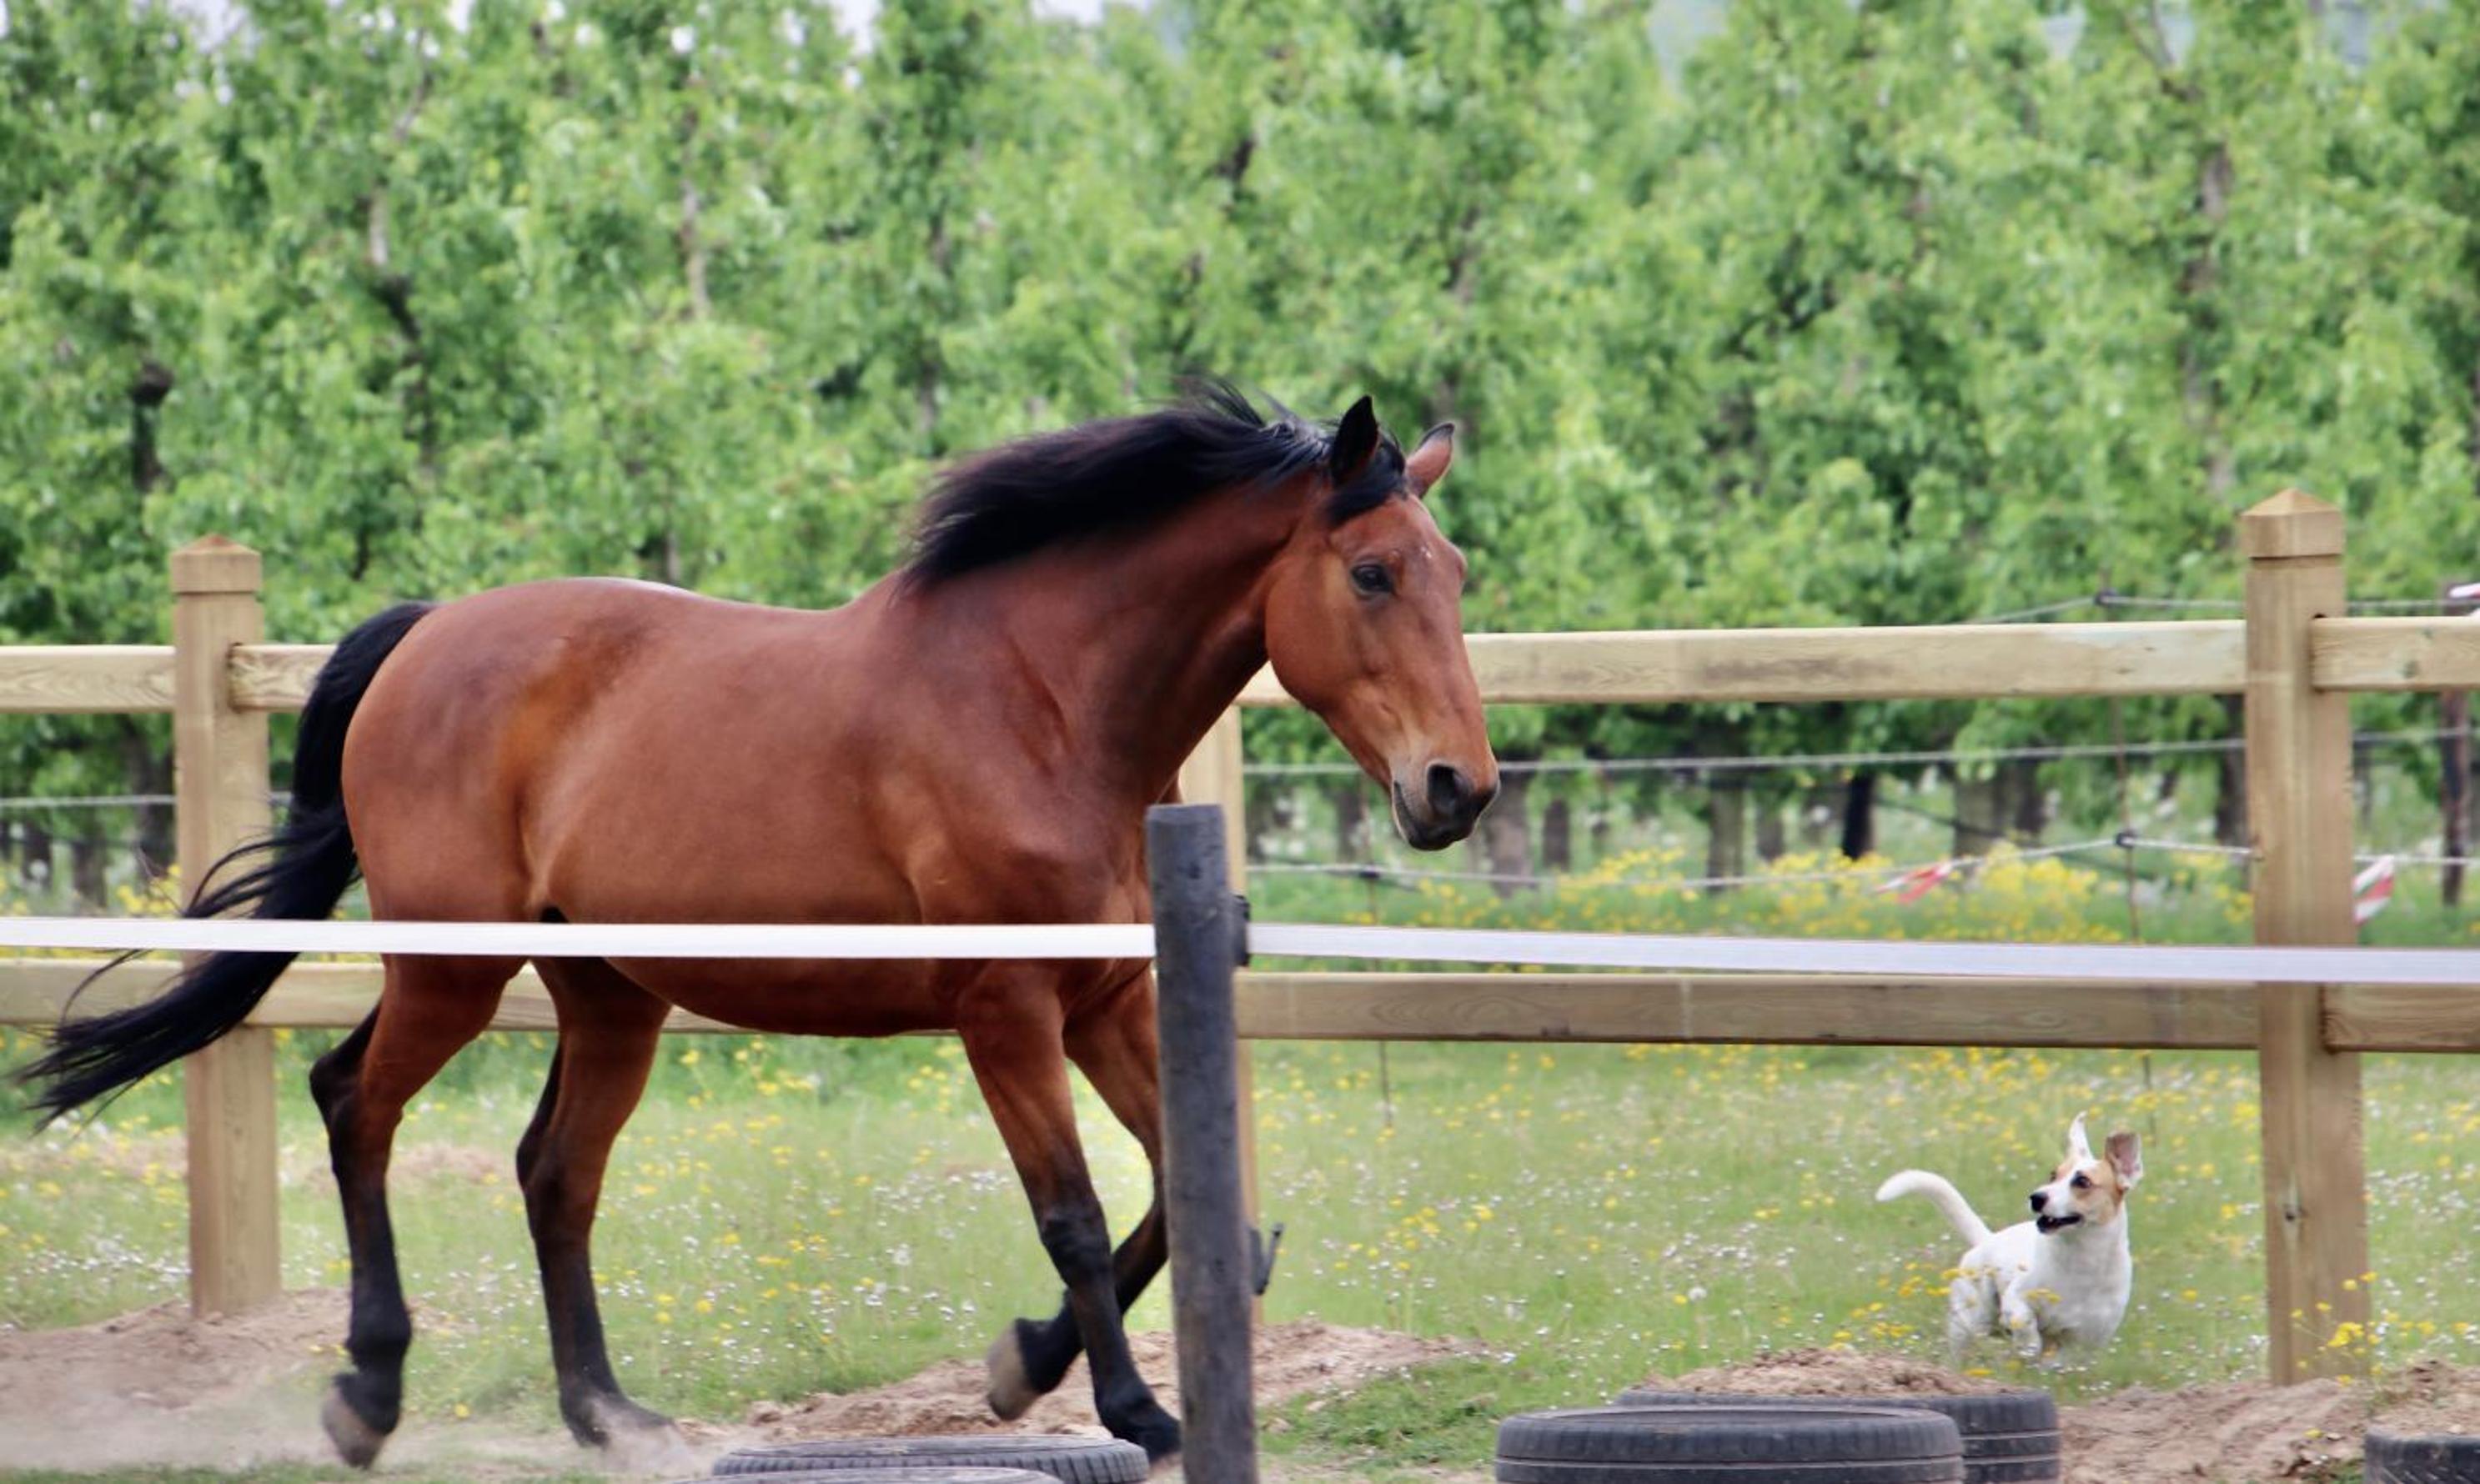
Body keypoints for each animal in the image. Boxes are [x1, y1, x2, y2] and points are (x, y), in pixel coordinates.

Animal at [23, 383, 1497, 1467]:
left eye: (1456, 571)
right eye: (1373, 574)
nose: (1456, 789)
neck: (1041, 707)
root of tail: (427, 636)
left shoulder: (1109, 1005)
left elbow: (1205, 1212)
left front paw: (1022, 1368)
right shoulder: (1005, 1012)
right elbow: (1076, 1215)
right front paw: (1124, 1410)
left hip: (610, 993)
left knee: (554, 1171)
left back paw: (607, 1416)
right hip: (455, 968)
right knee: (353, 1104)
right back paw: (365, 1398)